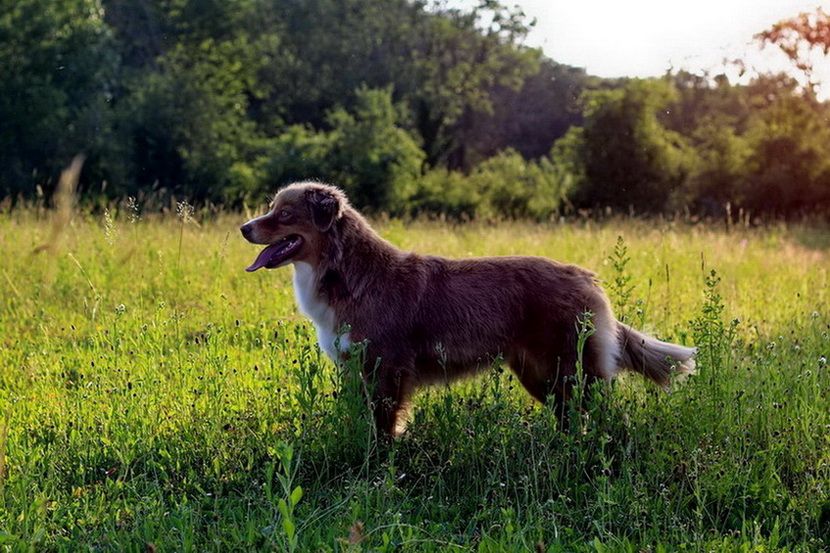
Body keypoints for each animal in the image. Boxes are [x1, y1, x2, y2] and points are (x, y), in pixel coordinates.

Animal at [240, 181, 696, 436]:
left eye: (284, 214)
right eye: (271, 209)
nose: (244, 227)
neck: (347, 271)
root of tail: (586, 277)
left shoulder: (386, 369)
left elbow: (382, 427)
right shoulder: (357, 368)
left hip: (574, 372)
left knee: (608, 421)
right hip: (543, 376)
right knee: (572, 420)